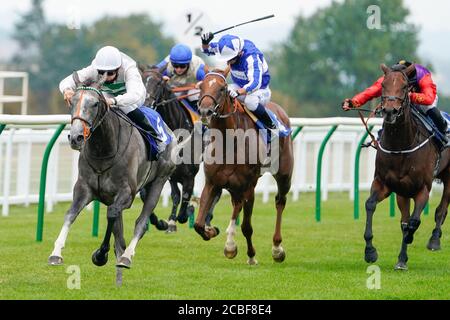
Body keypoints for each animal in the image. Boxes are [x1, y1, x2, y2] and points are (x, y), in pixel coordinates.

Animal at [47, 72, 177, 270]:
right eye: (72, 101)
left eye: (95, 103)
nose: (76, 137)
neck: (104, 150)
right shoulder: (84, 188)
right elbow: (71, 214)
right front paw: (56, 253)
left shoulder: (127, 193)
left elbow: (112, 214)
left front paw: (101, 254)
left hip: (159, 181)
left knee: (140, 222)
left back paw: (126, 256)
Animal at [194, 70, 296, 264]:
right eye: (201, 86)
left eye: (222, 88)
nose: (204, 111)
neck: (228, 142)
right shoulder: (212, 183)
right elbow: (198, 224)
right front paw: (213, 231)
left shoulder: (249, 187)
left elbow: (247, 227)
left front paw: (251, 256)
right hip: (235, 186)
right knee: (237, 204)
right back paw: (230, 244)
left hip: (284, 174)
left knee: (280, 201)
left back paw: (277, 248)